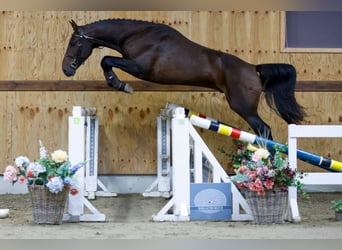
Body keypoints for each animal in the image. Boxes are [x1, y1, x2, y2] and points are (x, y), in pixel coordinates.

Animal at [62, 18, 306, 140]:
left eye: (74, 43)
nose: (66, 70)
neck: (137, 34)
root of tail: (253, 68)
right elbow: (107, 60)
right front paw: (118, 83)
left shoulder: (139, 68)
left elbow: (106, 60)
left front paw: (120, 84)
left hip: (244, 107)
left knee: (264, 130)